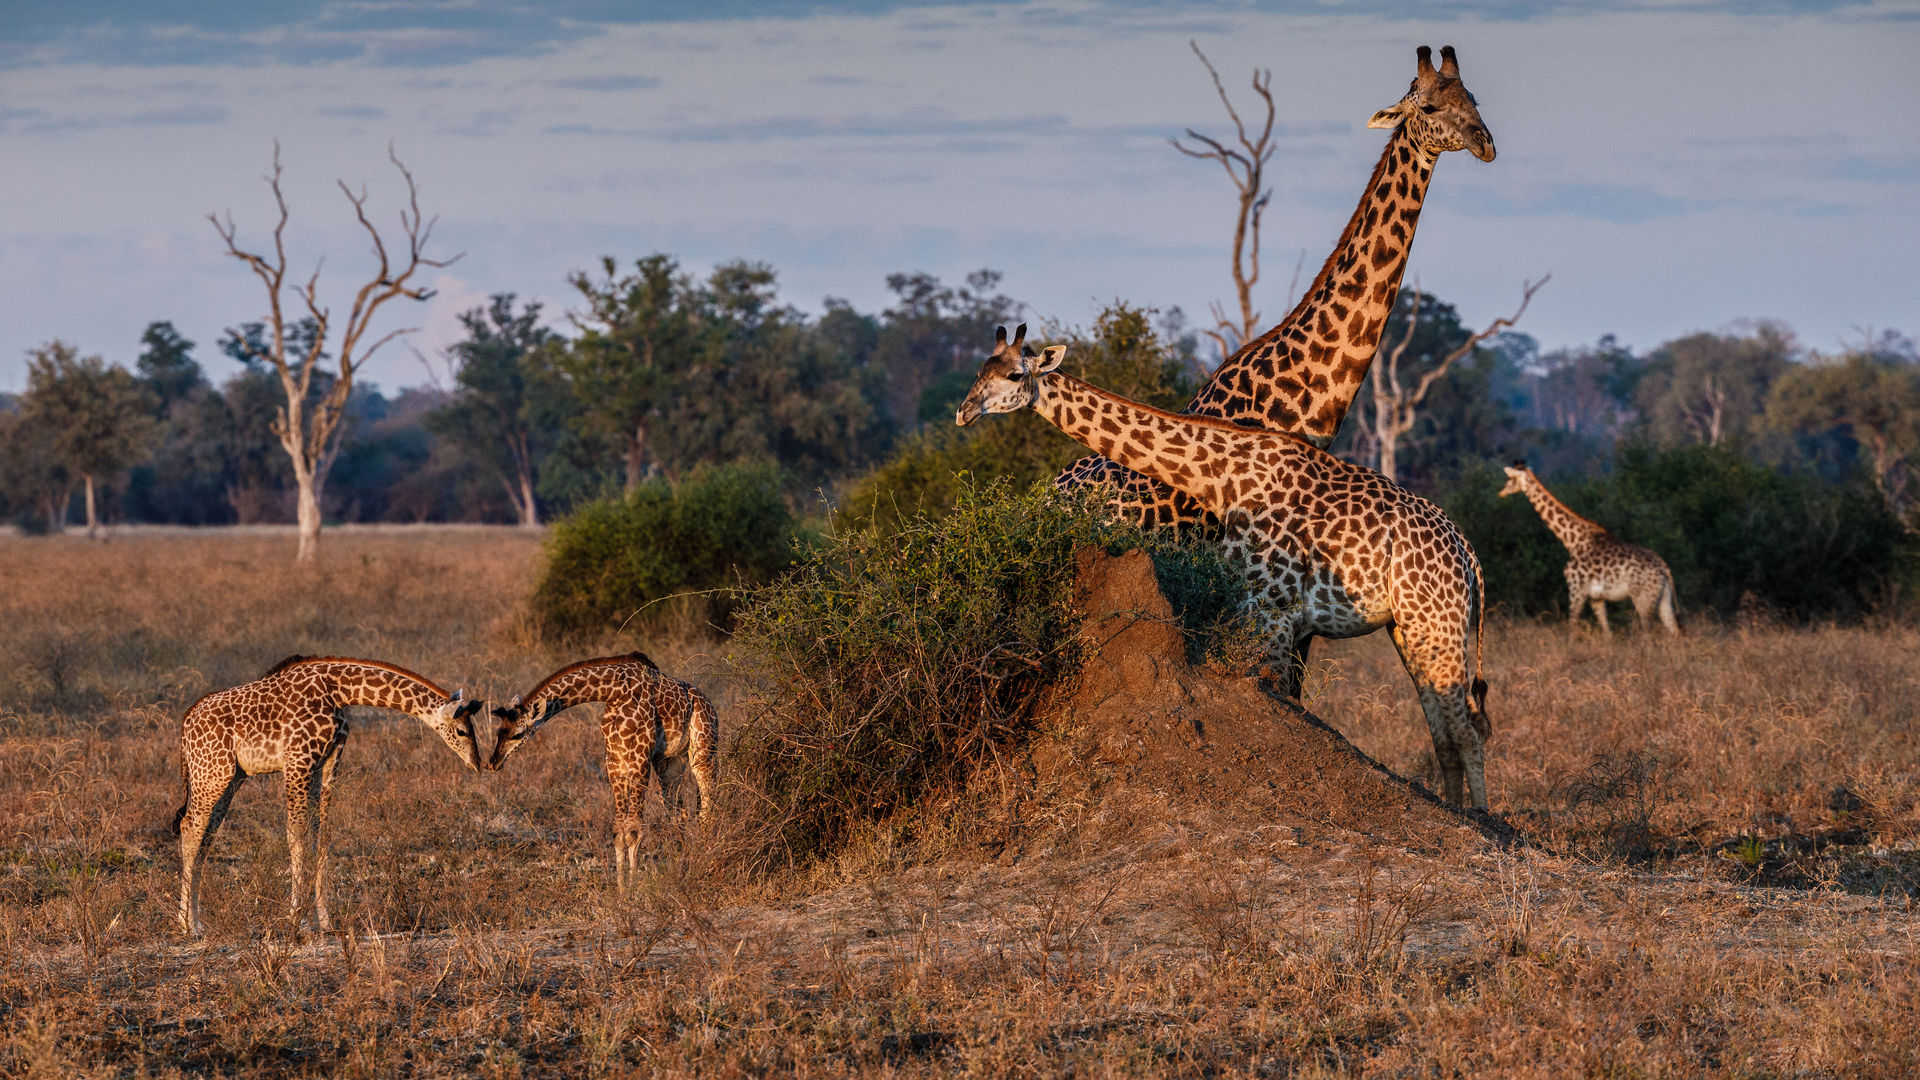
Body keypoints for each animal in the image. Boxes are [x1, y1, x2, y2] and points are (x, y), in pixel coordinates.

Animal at [174, 653, 480, 930]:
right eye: (463, 732)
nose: (477, 763)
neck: (339, 691)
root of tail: (185, 722)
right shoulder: (297, 761)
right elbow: (296, 835)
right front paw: (295, 919)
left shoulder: (328, 762)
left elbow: (322, 836)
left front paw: (322, 920)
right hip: (212, 773)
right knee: (190, 827)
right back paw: (187, 924)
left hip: (230, 777)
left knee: (206, 834)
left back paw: (196, 921)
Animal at [483, 645, 718, 883]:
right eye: (499, 731)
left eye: (517, 734)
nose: (493, 763)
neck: (613, 693)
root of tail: (709, 703)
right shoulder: (615, 763)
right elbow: (618, 830)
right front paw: (622, 887)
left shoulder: (639, 760)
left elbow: (634, 829)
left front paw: (633, 887)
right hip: (670, 762)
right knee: (680, 813)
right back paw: (684, 866)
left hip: (704, 752)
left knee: (707, 808)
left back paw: (708, 862)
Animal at [967, 332, 1489, 803]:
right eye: (979, 372)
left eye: (1014, 375)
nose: (964, 412)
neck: (1222, 478)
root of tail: (1467, 552)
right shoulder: (1259, 609)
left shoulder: (1275, 610)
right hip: (1410, 627)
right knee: (1446, 730)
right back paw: (1457, 812)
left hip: (1437, 623)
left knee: (1468, 728)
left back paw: (1483, 820)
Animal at [1497, 461, 1681, 630]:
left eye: (1509, 479)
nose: (1501, 492)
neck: (1572, 541)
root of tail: (1665, 568)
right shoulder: (1596, 598)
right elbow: (1607, 633)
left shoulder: (1576, 590)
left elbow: (1572, 628)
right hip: (1663, 598)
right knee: (1674, 631)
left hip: (1643, 598)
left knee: (1649, 632)